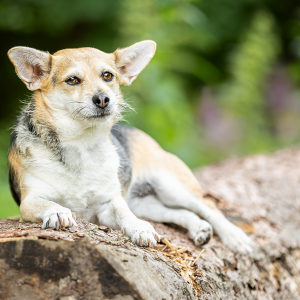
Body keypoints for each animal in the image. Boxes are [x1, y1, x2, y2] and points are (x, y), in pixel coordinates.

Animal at [7, 40, 252, 253]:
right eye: (72, 80)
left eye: (108, 76)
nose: (103, 99)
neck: (80, 145)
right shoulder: (29, 201)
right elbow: (44, 204)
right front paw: (57, 211)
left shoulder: (108, 204)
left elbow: (123, 212)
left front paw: (139, 227)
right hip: (148, 204)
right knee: (179, 213)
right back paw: (199, 228)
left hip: (171, 186)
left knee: (208, 206)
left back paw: (234, 236)